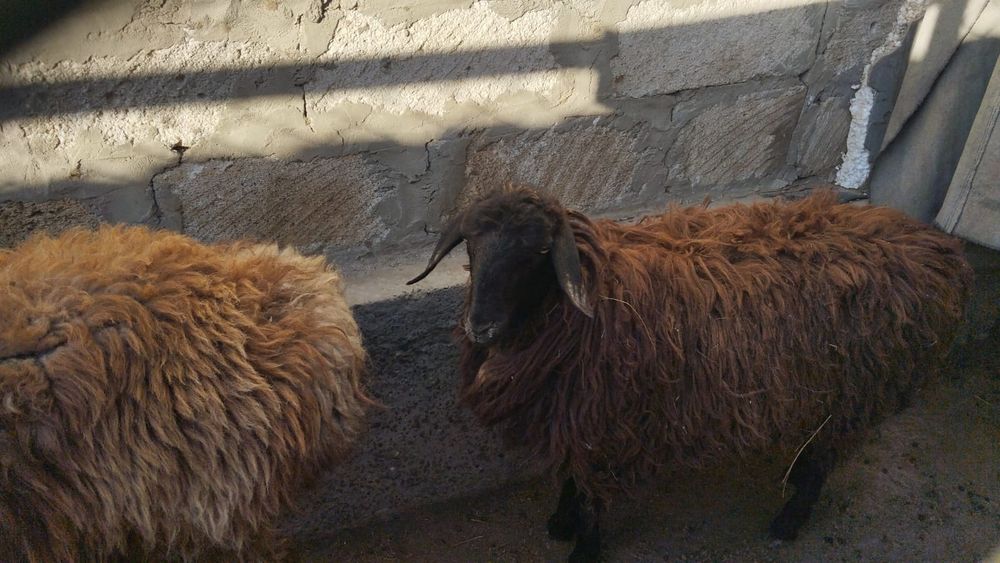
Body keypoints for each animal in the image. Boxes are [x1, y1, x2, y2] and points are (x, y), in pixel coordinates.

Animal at [408, 186, 972, 562]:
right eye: (471, 246)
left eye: (540, 252)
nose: (481, 327)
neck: (592, 299)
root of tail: (935, 246)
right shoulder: (574, 414)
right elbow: (571, 472)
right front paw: (561, 521)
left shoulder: (604, 421)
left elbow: (590, 491)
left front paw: (584, 547)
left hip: (855, 390)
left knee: (823, 461)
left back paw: (788, 522)